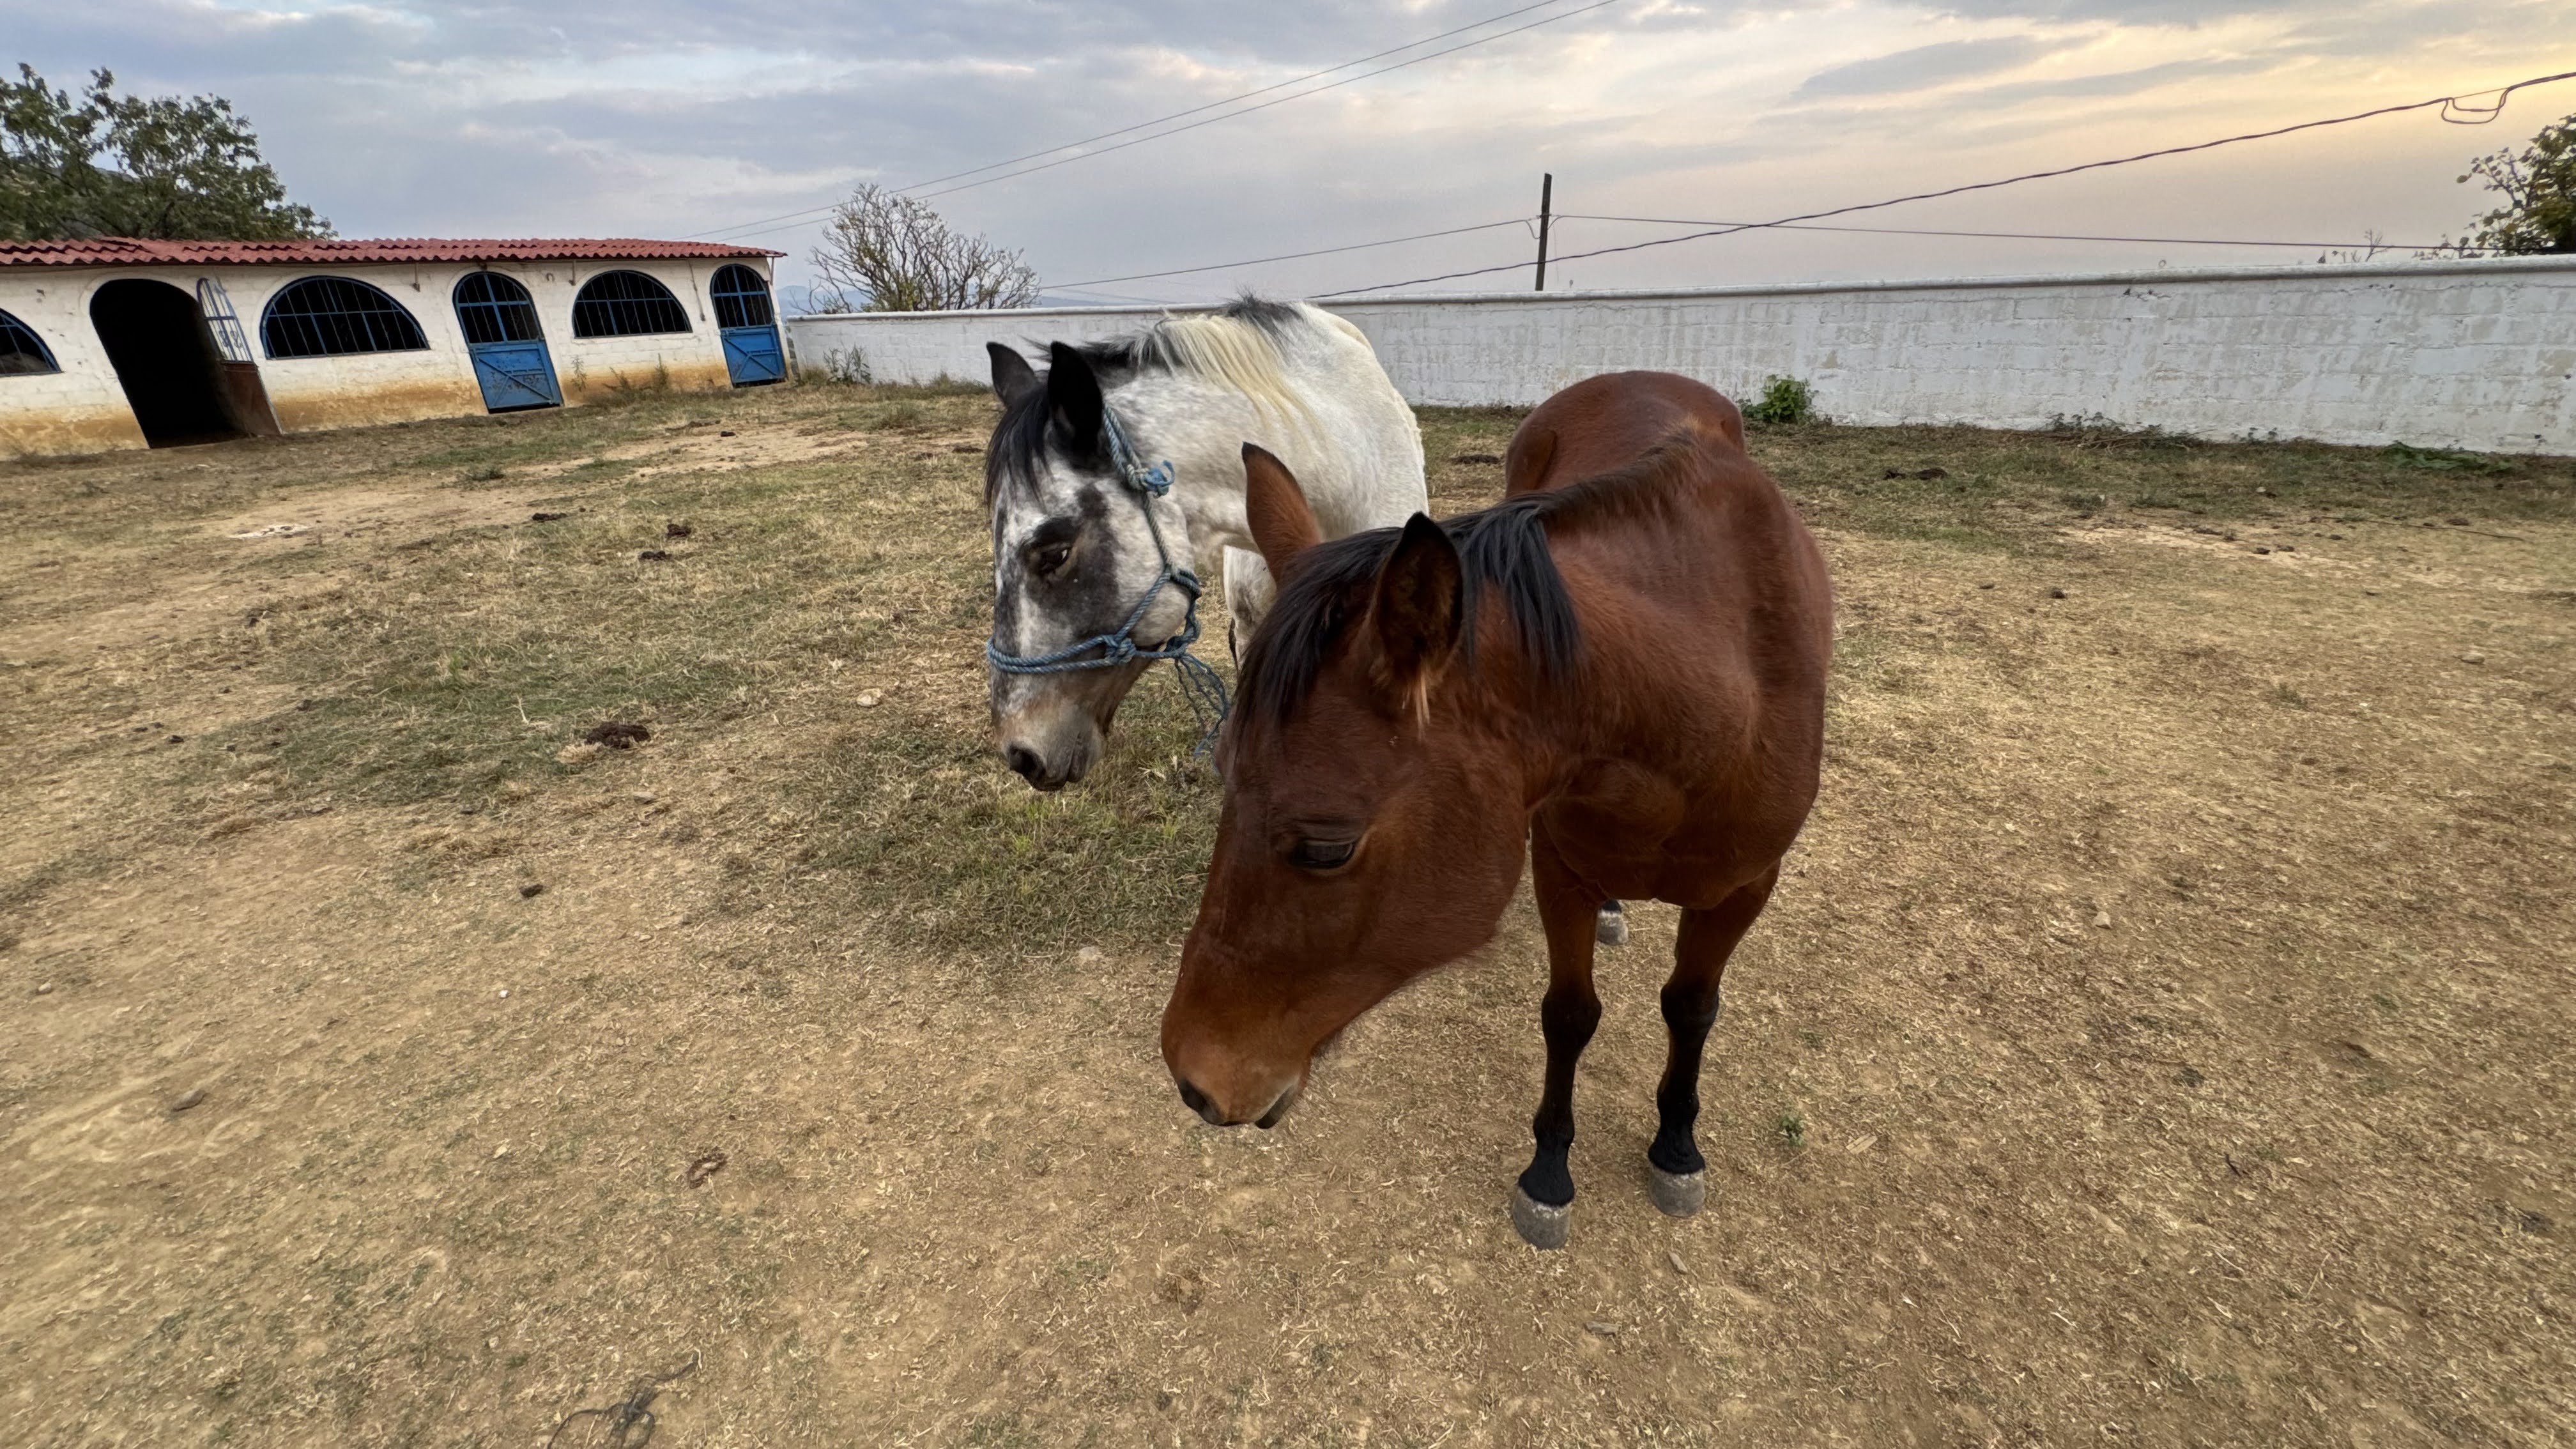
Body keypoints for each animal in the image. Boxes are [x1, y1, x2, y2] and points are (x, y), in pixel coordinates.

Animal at [1157, 370, 1833, 1250]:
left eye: (1327, 847)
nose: (1192, 1078)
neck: (1714, 696)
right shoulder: (1557, 866)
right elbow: (1570, 1016)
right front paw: (1550, 1170)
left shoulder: (1747, 888)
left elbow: (1691, 1009)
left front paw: (1677, 1145)